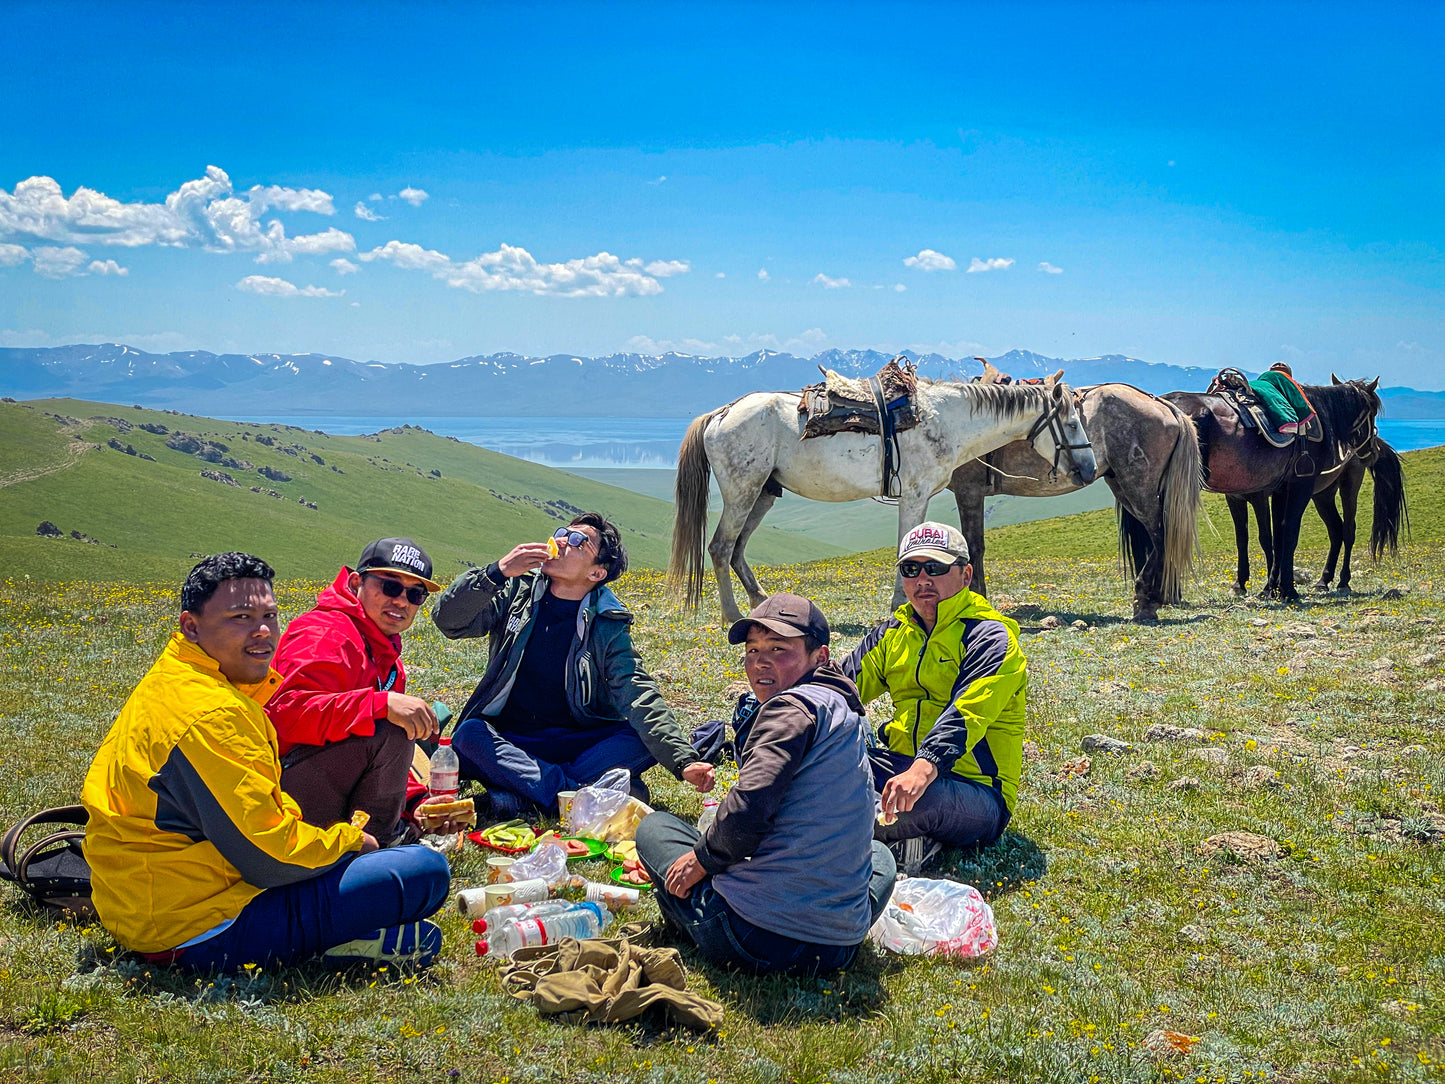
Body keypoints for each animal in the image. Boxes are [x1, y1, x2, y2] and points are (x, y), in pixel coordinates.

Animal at [667, 372, 1092, 624]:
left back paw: (762, 604)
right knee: (721, 547)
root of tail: (721, 413)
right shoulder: (915, 496)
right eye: (1072, 424)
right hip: (743, 491)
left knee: (737, 549)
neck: (948, 420)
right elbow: (907, 550)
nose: (1088, 471)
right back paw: (733, 616)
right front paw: (898, 607)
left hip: (762, 495)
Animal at [1225, 436, 1404, 595]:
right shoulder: (1234, 499)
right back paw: (1323, 581)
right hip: (1322, 496)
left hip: (1349, 487)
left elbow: (1266, 539)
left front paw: (1268, 587)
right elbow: (1241, 540)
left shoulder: (1260, 498)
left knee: (1348, 531)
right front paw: (1239, 585)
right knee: (1335, 530)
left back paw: (1343, 582)